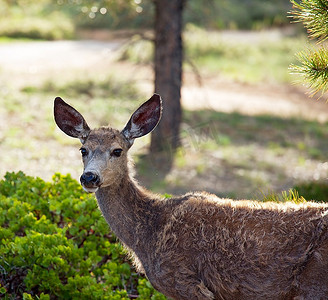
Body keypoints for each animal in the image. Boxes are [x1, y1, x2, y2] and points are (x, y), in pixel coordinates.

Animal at [54, 94, 328, 300]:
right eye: (83, 150)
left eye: (117, 151)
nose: (90, 177)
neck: (148, 235)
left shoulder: (185, 281)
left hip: (314, 284)